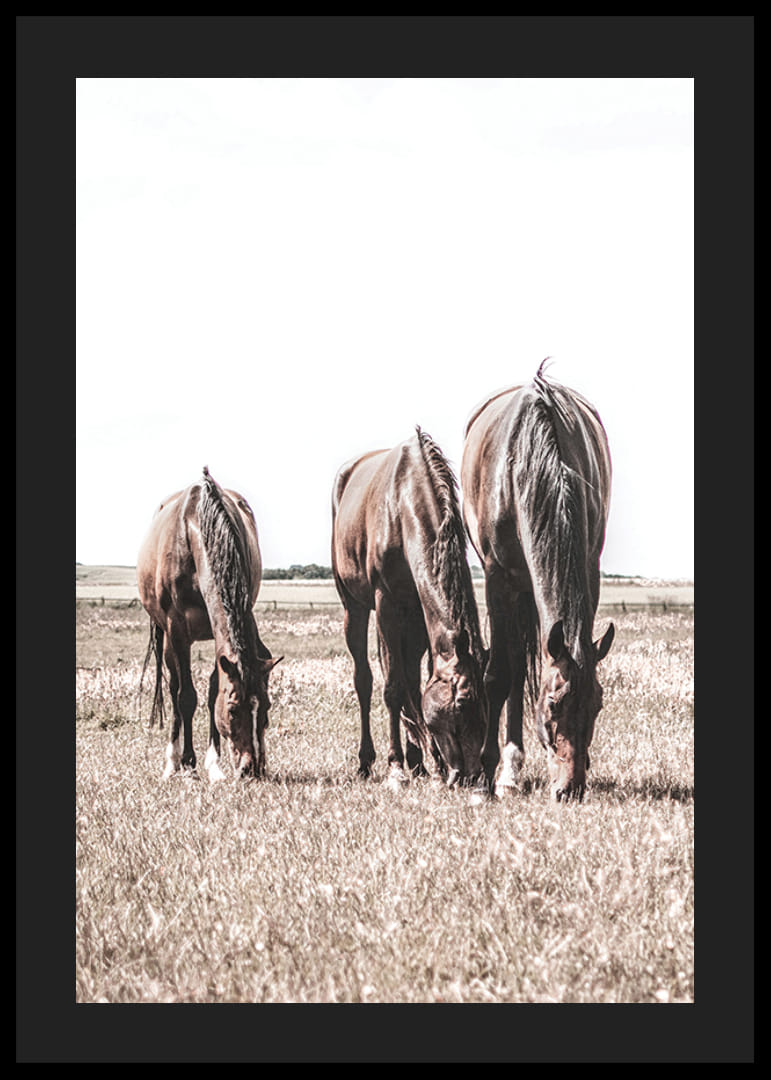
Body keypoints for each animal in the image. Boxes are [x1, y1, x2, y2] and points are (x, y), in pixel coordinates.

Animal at [137, 467, 281, 781]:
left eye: (267, 707)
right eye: (233, 710)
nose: (252, 769)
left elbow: (213, 691)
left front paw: (214, 764)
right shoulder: (177, 630)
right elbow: (186, 697)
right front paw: (188, 763)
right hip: (168, 639)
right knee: (174, 687)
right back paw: (173, 761)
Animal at [331, 427, 487, 789]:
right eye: (460, 707)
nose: (471, 777)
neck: (403, 506)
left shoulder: (418, 612)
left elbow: (415, 686)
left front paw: (427, 762)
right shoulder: (386, 604)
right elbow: (392, 688)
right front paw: (396, 766)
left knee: (409, 680)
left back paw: (418, 760)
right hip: (354, 608)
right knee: (365, 679)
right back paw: (368, 761)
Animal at [460, 361, 614, 801]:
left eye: (597, 705)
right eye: (552, 705)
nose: (570, 788)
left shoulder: (589, 569)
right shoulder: (497, 577)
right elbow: (499, 674)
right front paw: (484, 777)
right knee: (513, 663)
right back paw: (506, 772)